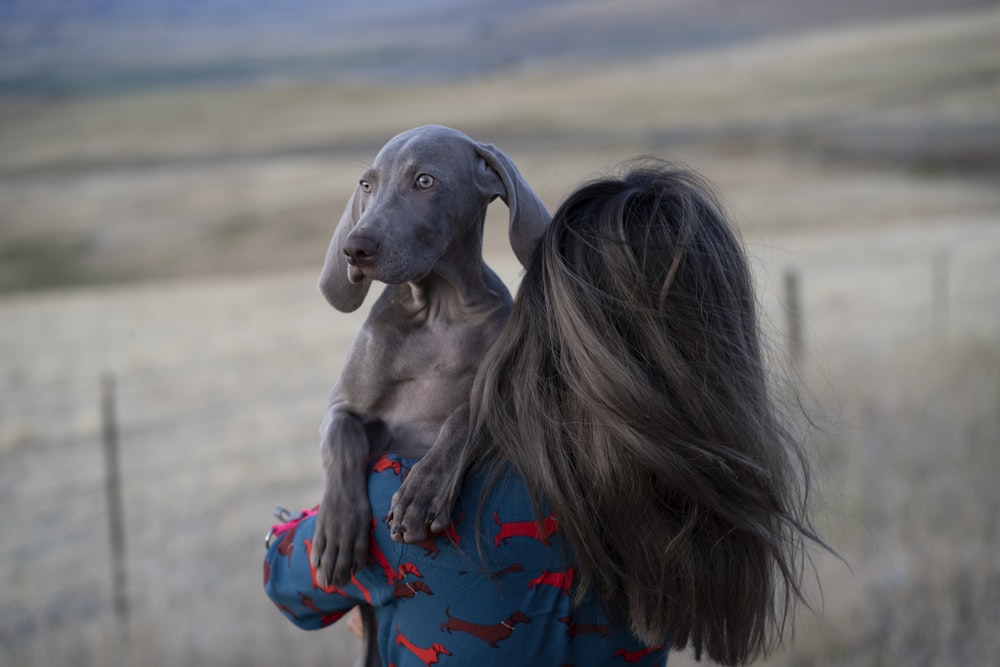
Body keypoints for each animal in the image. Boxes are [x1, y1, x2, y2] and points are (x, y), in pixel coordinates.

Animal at [310, 122, 552, 592]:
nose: (354, 248)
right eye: (367, 185)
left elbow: (463, 414)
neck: (439, 311)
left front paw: (421, 491)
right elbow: (343, 438)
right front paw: (337, 530)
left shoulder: (505, 400)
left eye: (424, 181)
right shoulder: (341, 407)